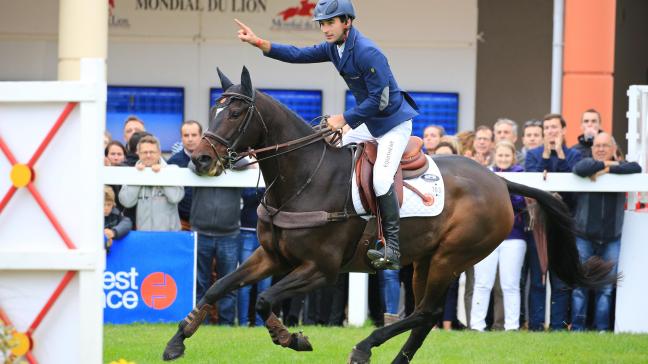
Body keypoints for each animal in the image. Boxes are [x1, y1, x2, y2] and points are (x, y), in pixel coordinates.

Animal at [161, 67, 612, 362]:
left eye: (236, 113)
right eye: (215, 110)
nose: (200, 159)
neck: (303, 176)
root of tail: (501, 183)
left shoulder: (321, 269)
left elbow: (265, 299)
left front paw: (291, 338)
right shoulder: (271, 256)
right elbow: (219, 289)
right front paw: (177, 340)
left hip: (451, 256)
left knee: (426, 311)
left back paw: (365, 347)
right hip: (426, 259)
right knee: (425, 315)